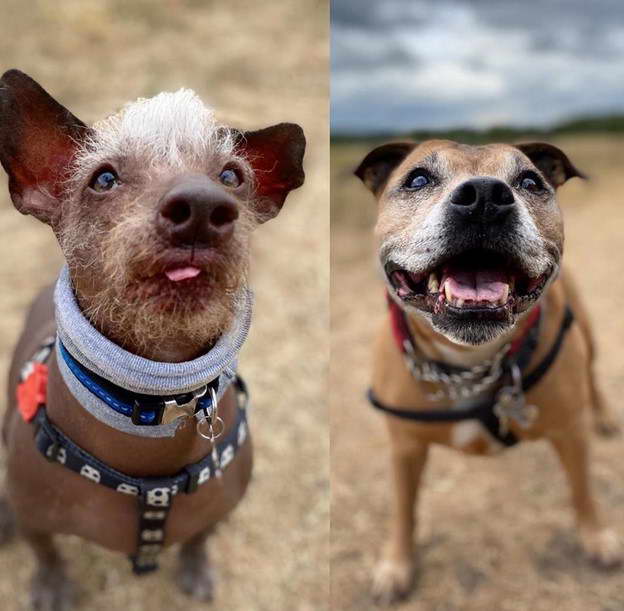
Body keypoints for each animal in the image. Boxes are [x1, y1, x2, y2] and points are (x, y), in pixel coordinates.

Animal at [354, 141, 620, 604]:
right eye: (417, 179)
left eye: (530, 181)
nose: (484, 197)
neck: (470, 364)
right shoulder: (404, 448)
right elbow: (404, 508)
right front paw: (396, 565)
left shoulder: (570, 432)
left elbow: (582, 487)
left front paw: (597, 535)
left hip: (587, 332)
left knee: (592, 373)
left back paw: (603, 415)